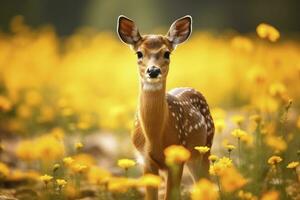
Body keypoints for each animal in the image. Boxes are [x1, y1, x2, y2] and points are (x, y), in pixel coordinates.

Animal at [116, 15, 213, 200]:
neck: (155, 137)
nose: (153, 70)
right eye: (139, 53)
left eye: (167, 53)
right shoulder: (145, 160)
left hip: (206, 148)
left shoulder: (177, 157)